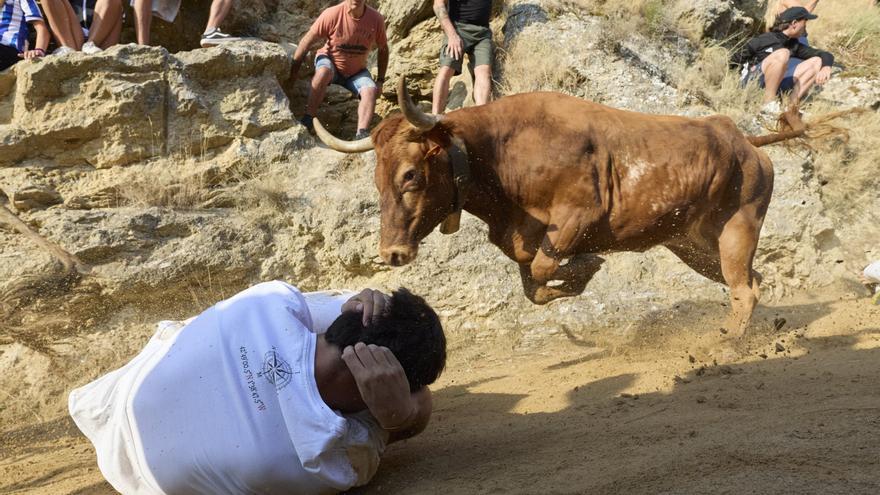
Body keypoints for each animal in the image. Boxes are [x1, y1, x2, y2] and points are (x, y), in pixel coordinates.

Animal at [313, 77, 816, 337]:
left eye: (410, 175)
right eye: (377, 179)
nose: (392, 254)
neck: (499, 154)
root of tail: (742, 139)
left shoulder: (577, 218)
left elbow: (541, 270)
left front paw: (588, 267)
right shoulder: (520, 238)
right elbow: (532, 284)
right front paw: (574, 279)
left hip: (739, 228)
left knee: (744, 289)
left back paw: (729, 345)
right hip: (693, 245)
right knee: (750, 281)